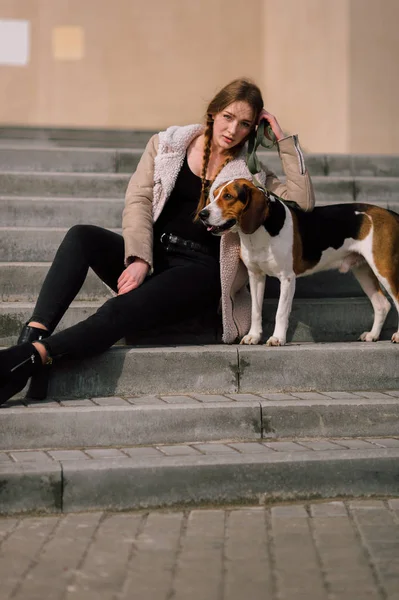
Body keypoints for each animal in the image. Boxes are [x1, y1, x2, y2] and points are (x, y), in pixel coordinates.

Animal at [200, 178, 399, 346]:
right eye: (214, 194)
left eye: (228, 196)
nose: (203, 214)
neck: (260, 231)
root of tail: (390, 213)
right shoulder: (255, 277)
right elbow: (255, 311)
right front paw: (253, 336)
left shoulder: (287, 278)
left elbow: (281, 312)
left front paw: (277, 338)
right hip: (363, 270)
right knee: (382, 305)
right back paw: (372, 335)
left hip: (384, 269)